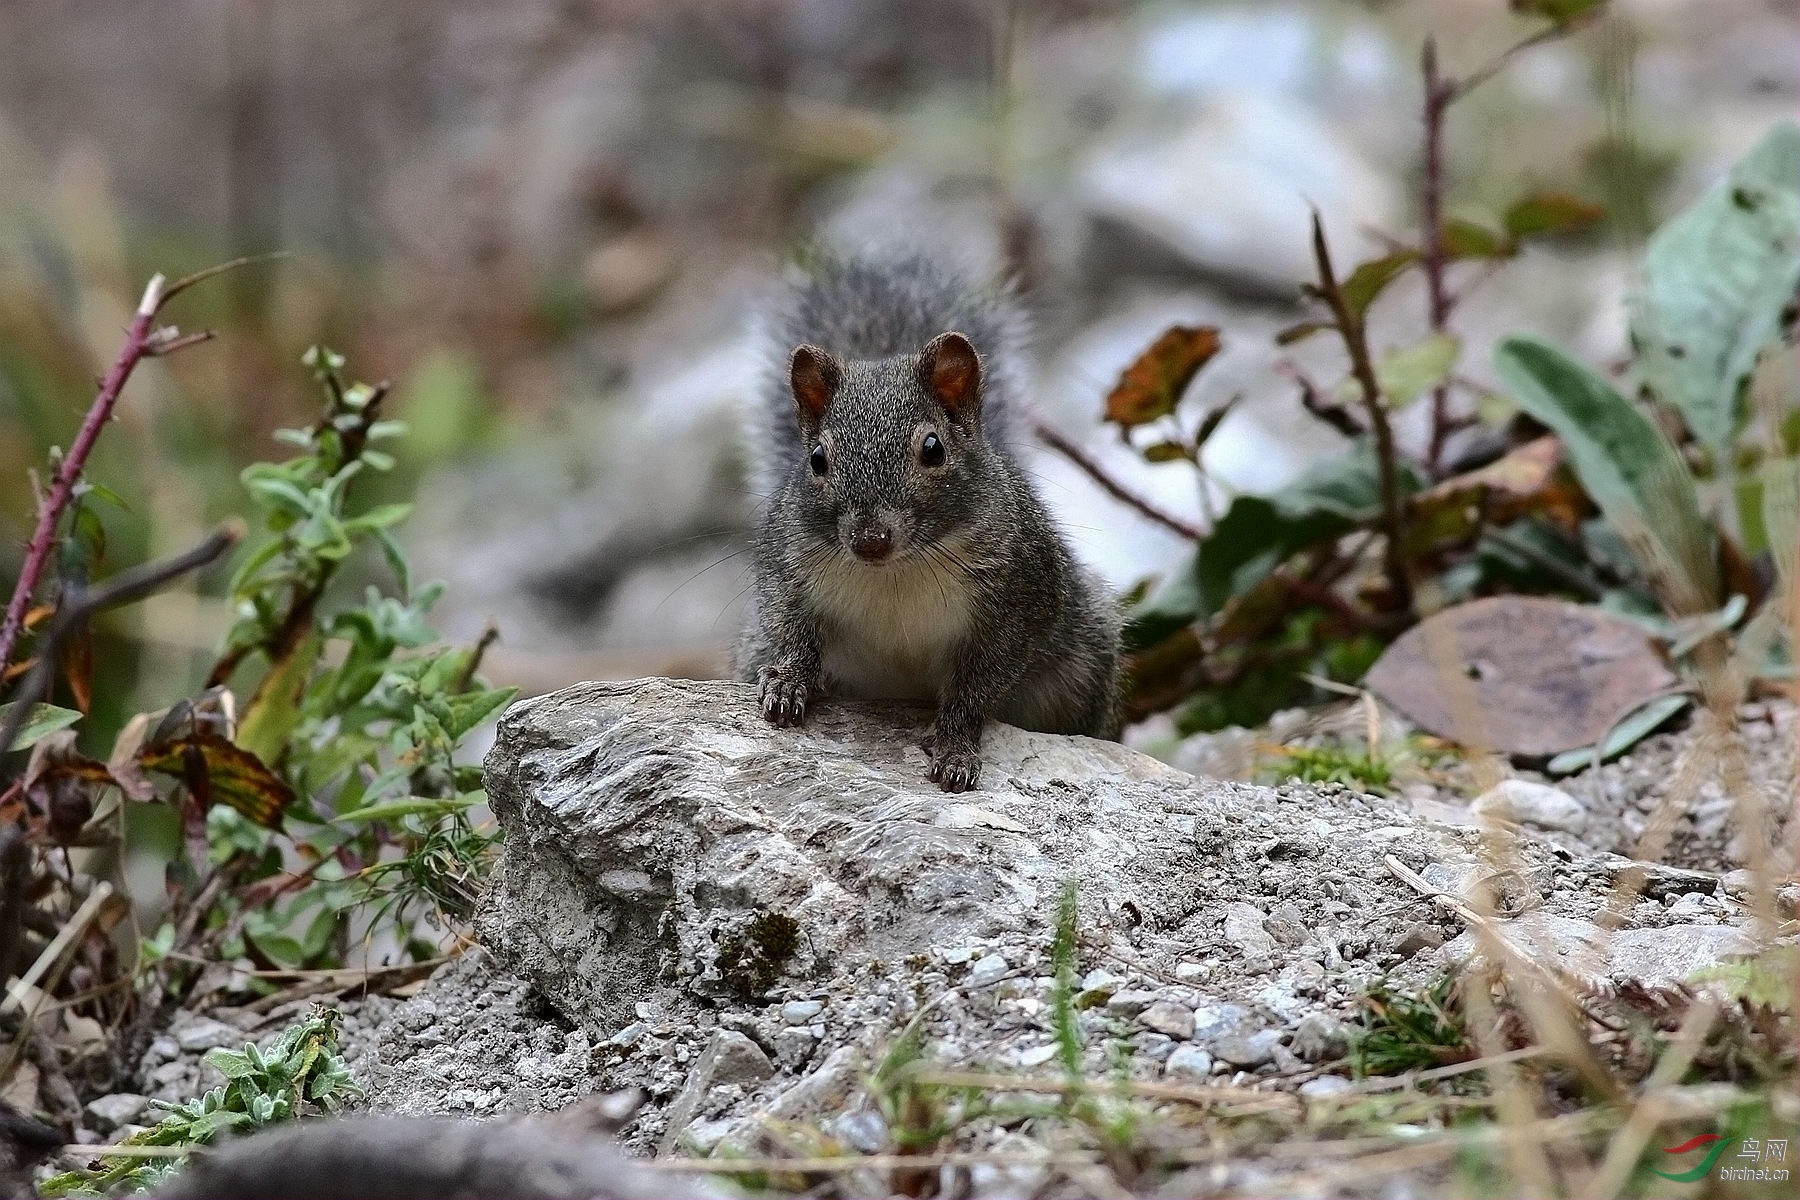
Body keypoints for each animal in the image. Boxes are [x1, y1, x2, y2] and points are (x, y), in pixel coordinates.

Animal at [730, 250, 1108, 791]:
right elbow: (789, 625)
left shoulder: (1020, 598)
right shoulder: (787, 563)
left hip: (1083, 663)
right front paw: (788, 681)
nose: (870, 540)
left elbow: (978, 685)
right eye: (817, 459)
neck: (897, 573)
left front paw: (955, 748)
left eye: (933, 448)